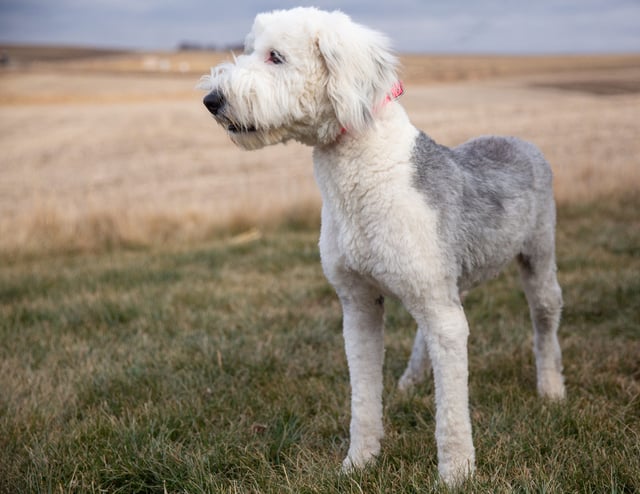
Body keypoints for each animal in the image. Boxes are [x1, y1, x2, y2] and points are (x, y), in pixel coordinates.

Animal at [198, 6, 564, 486]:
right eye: (249, 49)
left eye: (275, 57)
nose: (212, 100)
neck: (368, 176)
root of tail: (520, 140)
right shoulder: (358, 303)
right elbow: (364, 396)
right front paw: (358, 463)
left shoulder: (437, 303)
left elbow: (452, 411)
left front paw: (456, 475)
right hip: (447, 282)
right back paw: (412, 382)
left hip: (537, 258)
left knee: (545, 323)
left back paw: (552, 390)